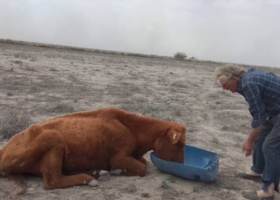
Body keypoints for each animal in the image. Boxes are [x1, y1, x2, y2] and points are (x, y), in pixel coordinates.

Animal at [0, 108, 188, 191]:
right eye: (179, 144)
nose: (182, 163)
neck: (131, 128)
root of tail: (4, 149)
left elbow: (142, 162)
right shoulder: (118, 157)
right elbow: (142, 168)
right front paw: (118, 171)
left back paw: (97, 173)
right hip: (54, 140)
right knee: (52, 181)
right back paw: (90, 178)